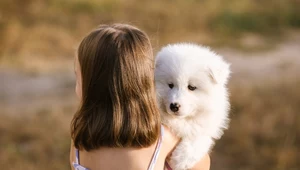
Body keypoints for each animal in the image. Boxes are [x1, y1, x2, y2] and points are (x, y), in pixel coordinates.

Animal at [156, 42, 231, 170]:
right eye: (170, 85)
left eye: (191, 87)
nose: (174, 106)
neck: (182, 120)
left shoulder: (205, 126)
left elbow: (200, 137)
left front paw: (181, 160)